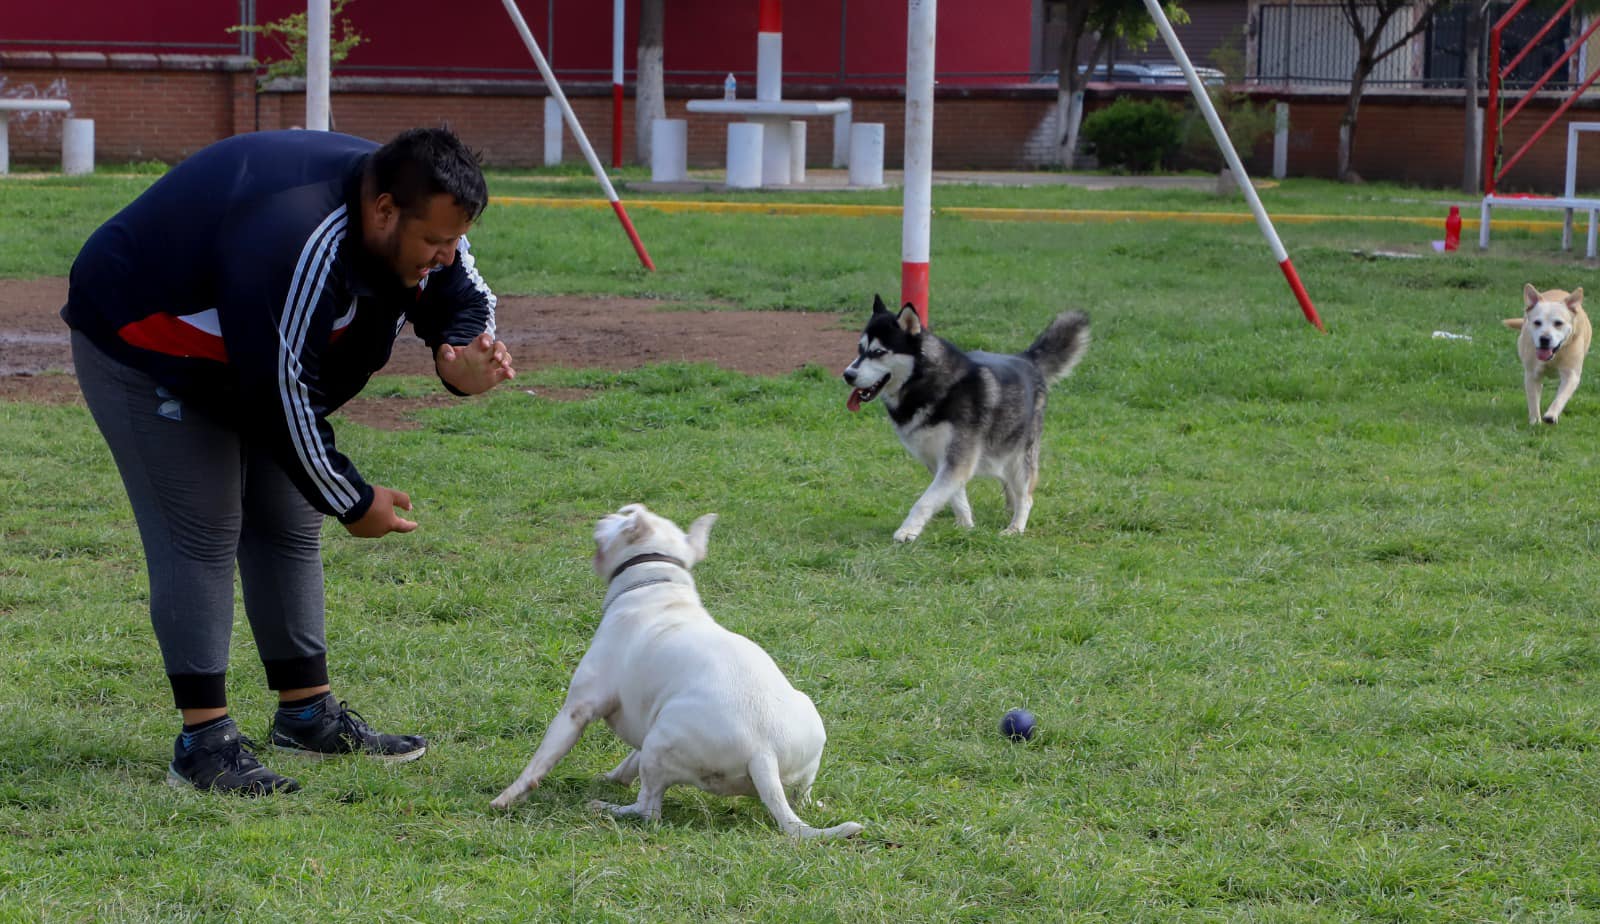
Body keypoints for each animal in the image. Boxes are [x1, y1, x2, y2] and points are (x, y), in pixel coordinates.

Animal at [838, 294, 1088, 540]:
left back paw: (1016, 527)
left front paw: (908, 530)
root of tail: (1026, 359)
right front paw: (966, 526)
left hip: (1020, 457)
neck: (926, 385)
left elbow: (926, 500)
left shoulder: (958, 458)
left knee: (1026, 496)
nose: (847, 375)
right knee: (1009, 484)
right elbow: (955, 497)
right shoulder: (937, 459)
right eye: (860, 349)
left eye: (878, 352)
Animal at [1497, 282, 1587, 422]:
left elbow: (1561, 396)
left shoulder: (1571, 374)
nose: (1544, 339)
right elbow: (1533, 399)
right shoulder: (1531, 374)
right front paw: (1535, 421)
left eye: (1558, 323)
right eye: (1537, 322)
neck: (1554, 356)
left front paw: (1551, 415)